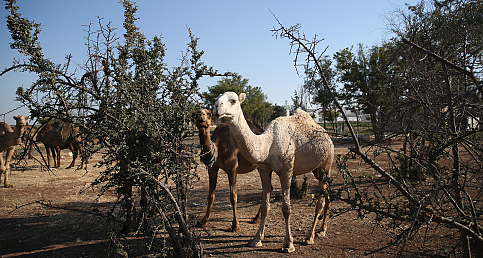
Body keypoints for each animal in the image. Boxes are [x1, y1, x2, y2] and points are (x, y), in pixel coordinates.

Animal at [214, 91, 334, 253]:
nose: (216, 107)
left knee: (321, 200)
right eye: (216, 99)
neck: (268, 144)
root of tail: (327, 135)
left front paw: (288, 244)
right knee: (328, 196)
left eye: (233, 100)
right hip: (317, 169)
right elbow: (265, 205)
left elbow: (286, 208)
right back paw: (322, 230)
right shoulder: (265, 169)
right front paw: (256, 239)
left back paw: (310, 237)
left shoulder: (287, 170)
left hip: (326, 163)